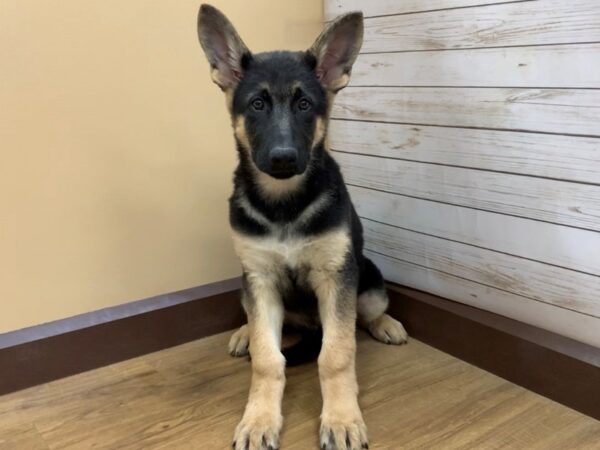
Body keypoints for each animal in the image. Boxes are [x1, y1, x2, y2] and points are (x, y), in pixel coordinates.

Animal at [197, 4, 408, 450]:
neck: (284, 206)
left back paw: (386, 324)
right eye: (257, 104)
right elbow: (267, 358)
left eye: (305, 104)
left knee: (366, 314)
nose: (282, 159)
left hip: (367, 278)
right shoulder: (259, 279)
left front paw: (342, 419)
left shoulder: (335, 278)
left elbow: (337, 354)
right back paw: (244, 332)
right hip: (250, 287)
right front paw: (259, 419)